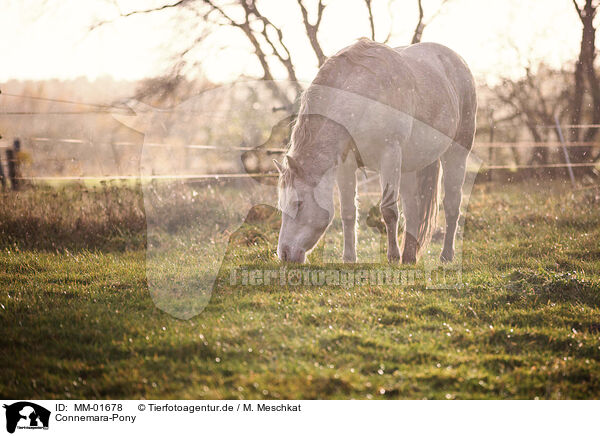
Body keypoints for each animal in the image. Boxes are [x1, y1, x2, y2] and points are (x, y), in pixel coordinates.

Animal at [276, 39, 478, 264]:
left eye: (299, 203)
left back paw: (446, 255)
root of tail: (457, 61)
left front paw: (392, 256)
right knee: (413, 209)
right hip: (409, 165)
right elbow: (348, 211)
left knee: (452, 205)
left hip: (456, 153)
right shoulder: (346, 164)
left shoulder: (390, 155)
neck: (362, 97)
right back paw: (409, 257)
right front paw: (349, 258)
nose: (285, 254)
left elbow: (388, 210)